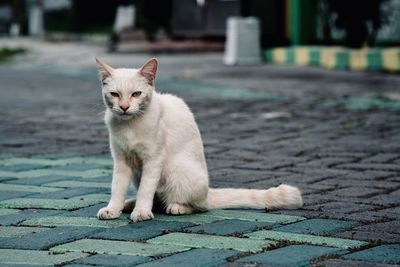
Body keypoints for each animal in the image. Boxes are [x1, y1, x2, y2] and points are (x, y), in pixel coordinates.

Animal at [95, 59, 302, 224]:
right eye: (115, 94)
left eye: (136, 94)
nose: (124, 107)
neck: (129, 126)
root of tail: (208, 192)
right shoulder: (121, 160)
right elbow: (117, 187)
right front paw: (113, 209)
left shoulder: (153, 160)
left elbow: (146, 190)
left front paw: (141, 212)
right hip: (139, 174)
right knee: (158, 199)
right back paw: (130, 203)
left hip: (175, 172)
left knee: (199, 206)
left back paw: (177, 207)